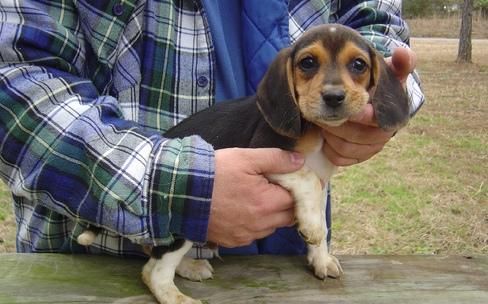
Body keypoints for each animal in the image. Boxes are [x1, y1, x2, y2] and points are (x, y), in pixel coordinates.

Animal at [78, 23, 410, 304]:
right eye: (307, 63)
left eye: (358, 65)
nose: (333, 97)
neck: (314, 129)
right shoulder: (265, 153)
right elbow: (305, 179)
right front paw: (311, 228)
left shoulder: (323, 176)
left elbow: (320, 208)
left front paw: (321, 258)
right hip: (188, 216)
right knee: (153, 270)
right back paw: (176, 295)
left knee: (151, 250)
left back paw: (189, 267)